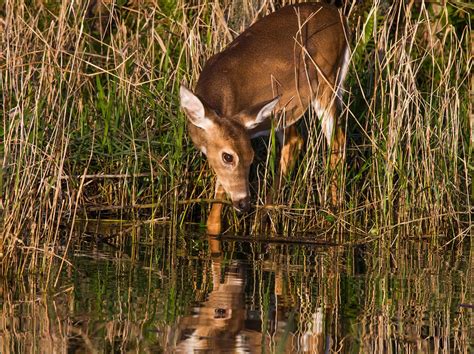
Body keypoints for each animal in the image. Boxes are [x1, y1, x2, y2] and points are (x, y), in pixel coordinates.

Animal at [180, 3, 350, 235]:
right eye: (228, 157)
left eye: (251, 156)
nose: (244, 203)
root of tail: (340, 18)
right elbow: (213, 221)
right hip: (287, 110)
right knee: (297, 141)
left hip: (326, 83)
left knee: (336, 140)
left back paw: (332, 212)